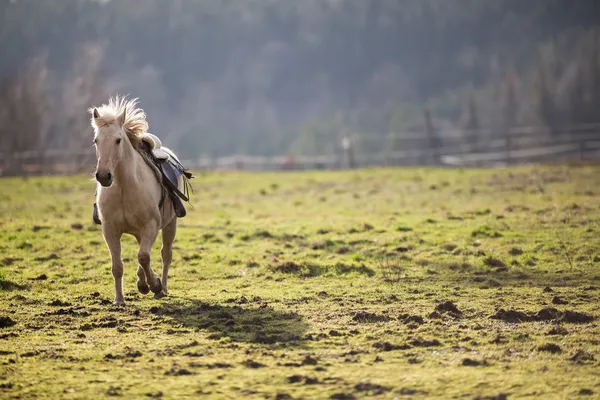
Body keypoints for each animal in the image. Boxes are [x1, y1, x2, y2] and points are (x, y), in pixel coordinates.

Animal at [89, 97, 190, 306]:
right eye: (96, 140)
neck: (124, 188)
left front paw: (154, 285)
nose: (103, 176)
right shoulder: (110, 230)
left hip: (170, 224)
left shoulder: (150, 226)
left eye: (118, 140)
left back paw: (162, 288)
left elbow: (144, 257)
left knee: (165, 255)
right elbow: (117, 266)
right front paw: (119, 300)